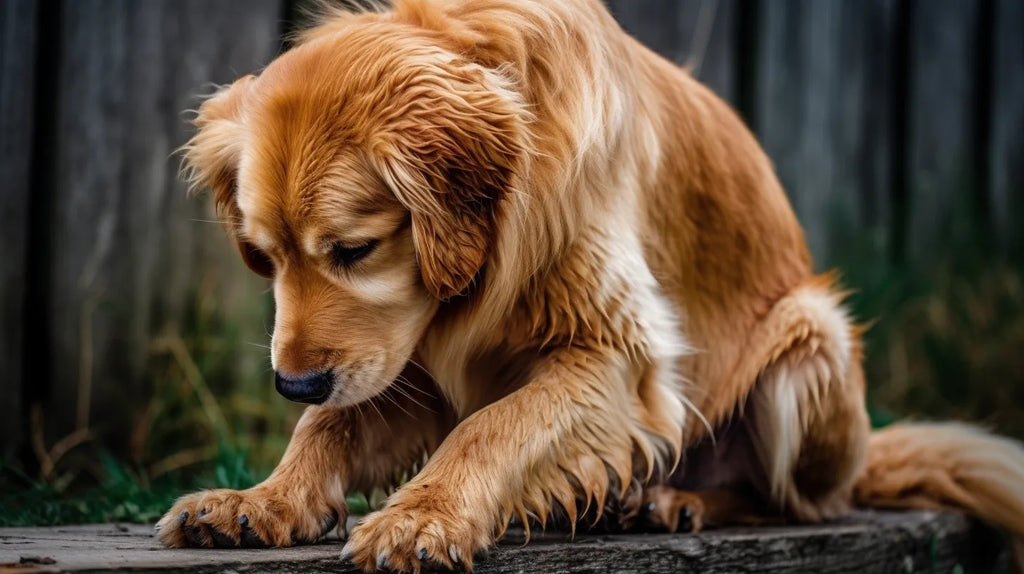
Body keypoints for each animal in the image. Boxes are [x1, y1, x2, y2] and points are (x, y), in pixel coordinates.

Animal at [153, 0, 1024, 564]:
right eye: (265, 257)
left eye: (355, 250)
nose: (291, 382)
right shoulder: (407, 366)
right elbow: (328, 428)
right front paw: (261, 502)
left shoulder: (615, 360)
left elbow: (492, 426)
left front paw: (424, 517)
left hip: (808, 333)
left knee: (792, 499)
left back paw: (675, 501)